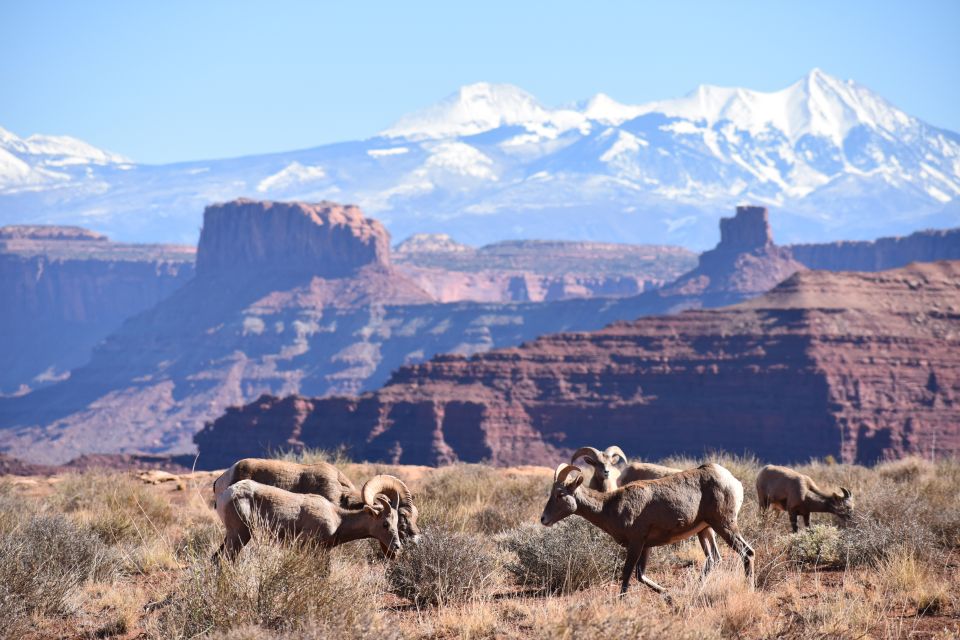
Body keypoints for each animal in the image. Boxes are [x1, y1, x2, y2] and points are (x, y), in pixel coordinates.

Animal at [214, 476, 408, 560]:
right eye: (385, 524)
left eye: (397, 523)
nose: (397, 546)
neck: (338, 520)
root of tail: (228, 494)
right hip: (240, 535)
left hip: (232, 536)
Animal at [540, 460, 752, 596]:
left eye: (560, 494)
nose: (544, 519)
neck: (611, 507)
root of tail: (734, 482)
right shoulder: (646, 546)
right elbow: (640, 575)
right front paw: (667, 594)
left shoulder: (636, 543)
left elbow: (627, 575)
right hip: (705, 530)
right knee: (713, 559)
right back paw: (695, 591)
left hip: (724, 525)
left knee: (747, 553)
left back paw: (748, 590)